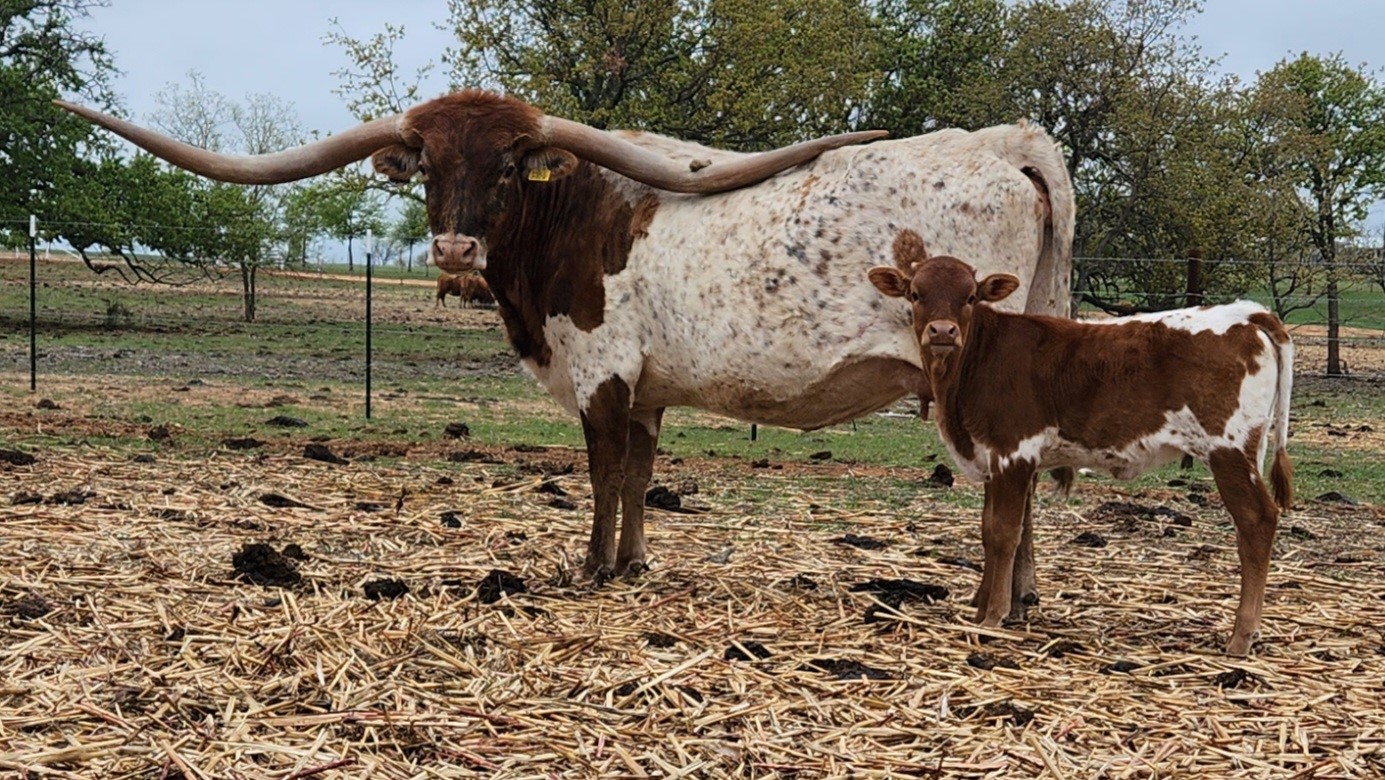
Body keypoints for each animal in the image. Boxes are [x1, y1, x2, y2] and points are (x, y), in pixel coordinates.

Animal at [57, 90, 1074, 584]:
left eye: (510, 165)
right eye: (427, 163)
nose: (454, 248)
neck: (567, 212)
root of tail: (1004, 141)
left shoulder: (601, 372)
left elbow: (601, 472)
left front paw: (588, 568)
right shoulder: (650, 388)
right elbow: (639, 474)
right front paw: (630, 564)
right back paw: (1022, 595)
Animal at [867, 230, 1293, 655]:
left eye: (970, 296)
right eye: (916, 293)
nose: (942, 332)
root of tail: (1247, 314)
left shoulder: (1013, 452)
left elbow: (1005, 534)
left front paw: (994, 617)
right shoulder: (991, 457)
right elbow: (987, 530)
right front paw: (982, 608)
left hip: (1228, 450)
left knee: (1256, 520)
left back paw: (1241, 637)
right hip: (1249, 450)